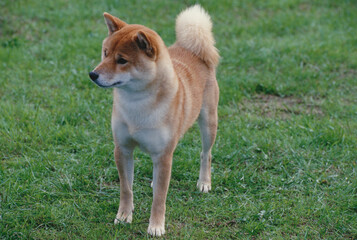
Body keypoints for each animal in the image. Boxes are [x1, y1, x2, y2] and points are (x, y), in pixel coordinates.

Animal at [88, 3, 217, 236]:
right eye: (105, 53)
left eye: (122, 60)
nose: (92, 74)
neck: (137, 104)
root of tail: (190, 49)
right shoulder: (122, 149)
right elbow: (126, 188)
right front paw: (123, 216)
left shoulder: (163, 155)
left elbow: (159, 198)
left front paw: (156, 226)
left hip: (209, 124)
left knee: (206, 154)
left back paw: (204, 182)